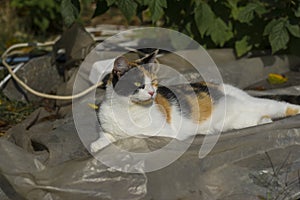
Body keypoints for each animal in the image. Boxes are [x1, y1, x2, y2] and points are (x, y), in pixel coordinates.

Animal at [90, 50, 300, 152]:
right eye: (138, 84)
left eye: (154, 82)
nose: (151, 93)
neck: (127, 110)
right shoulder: (107, 128)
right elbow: (107, 137)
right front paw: (97, 145)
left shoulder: (164, 133)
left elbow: (138, 135)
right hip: (236, 121)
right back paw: (264, 121)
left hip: (255, 104)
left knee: (281, 106)